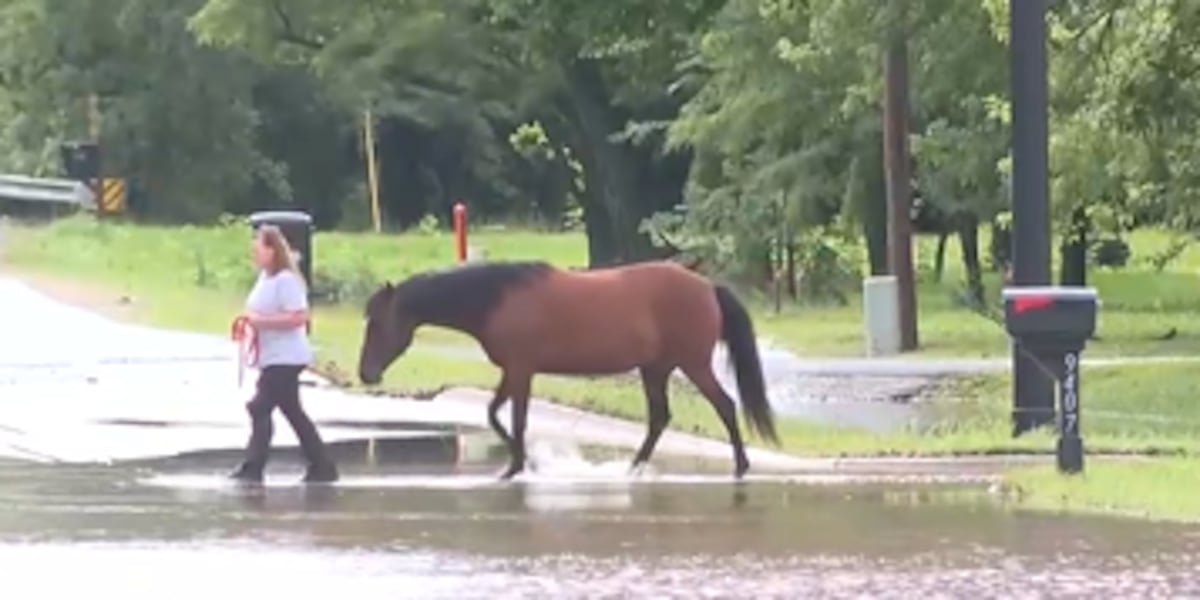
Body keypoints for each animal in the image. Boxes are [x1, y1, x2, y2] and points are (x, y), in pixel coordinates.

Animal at [357, 260, 779, 479]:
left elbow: (516, 419)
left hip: (692, 365)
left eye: (376, 322)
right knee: (660, 418)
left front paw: (516, 466)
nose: (366, 373)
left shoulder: (521, 371)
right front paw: (518, 462)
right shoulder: (513, 371)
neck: (497, 298)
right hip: (655, 369)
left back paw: (741, 467)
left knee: (724, 406)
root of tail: (708, 287)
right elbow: (494, 413)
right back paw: (632, 469)